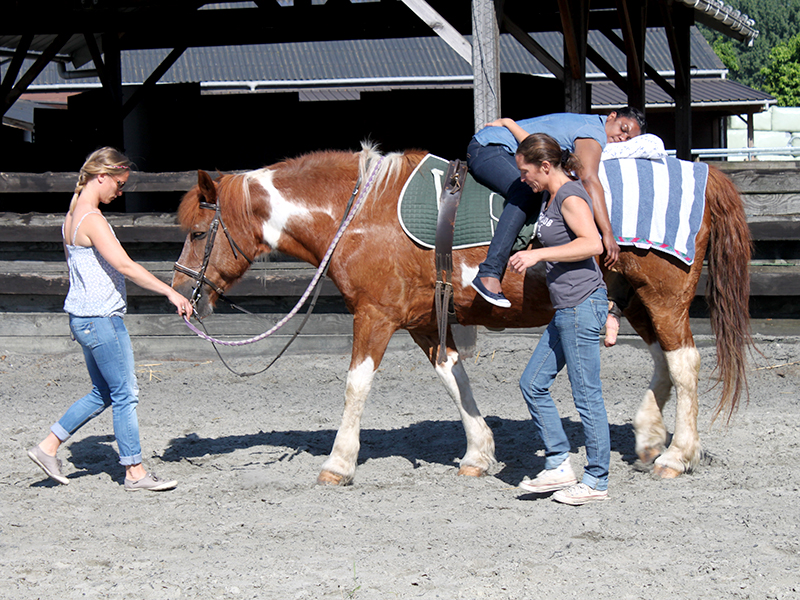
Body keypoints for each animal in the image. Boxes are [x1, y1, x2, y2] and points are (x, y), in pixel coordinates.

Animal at [172, 145, 752, 488]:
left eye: (199, 233)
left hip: (664, 296)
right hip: (634, 298)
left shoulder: (375, 316)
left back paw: (678, 454)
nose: (180, 295)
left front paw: (338, 462)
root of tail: (704, 175)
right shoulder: (425, 320)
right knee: (662, 361)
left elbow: (356, 385)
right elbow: (454, 377)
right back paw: (650, 438)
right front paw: (478, 452)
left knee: (685, 363)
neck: (359, 212)